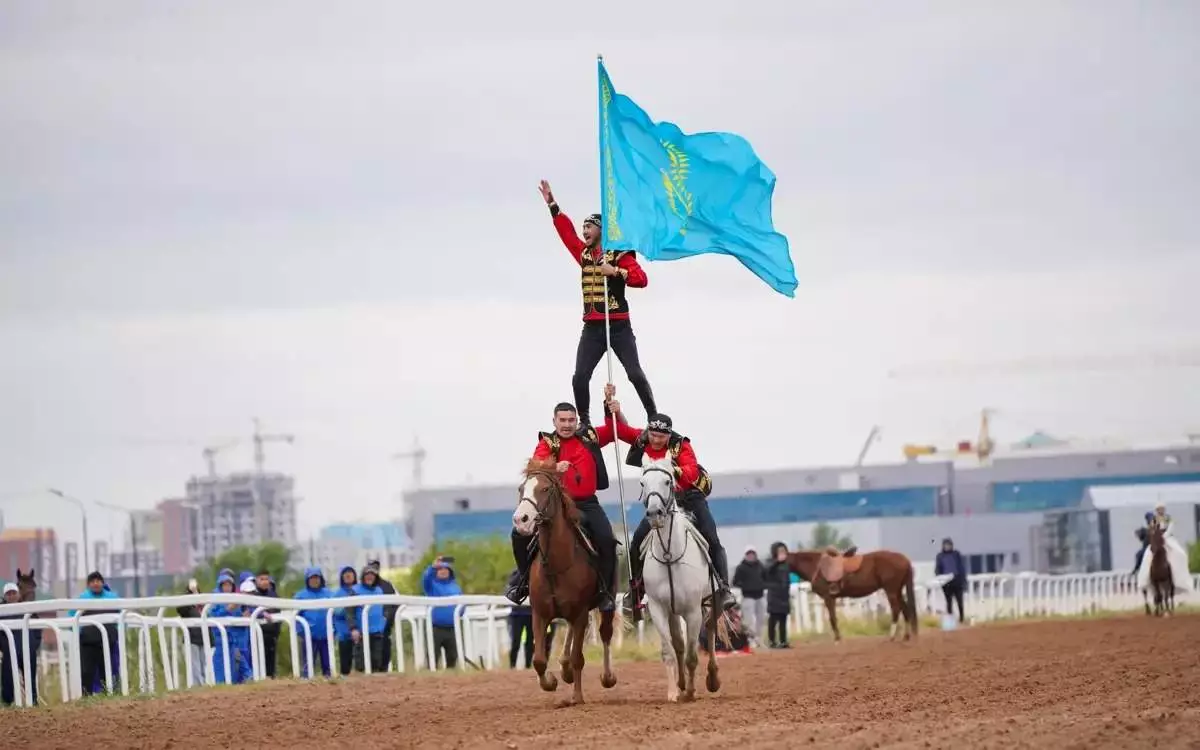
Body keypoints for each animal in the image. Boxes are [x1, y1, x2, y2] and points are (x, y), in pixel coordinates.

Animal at [513, 458, 614, 705]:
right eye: (521, 489)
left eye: (545, 489)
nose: (521, 520)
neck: (556, 565)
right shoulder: (539, 614)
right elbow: (539, 659)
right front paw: (550, 682)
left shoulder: (580, 613)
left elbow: (579, 657)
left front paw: (576, 696)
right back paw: (564, 667)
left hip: (605, 603)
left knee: (605, 633)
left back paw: (607, 676)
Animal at [638, 456, 720, 700]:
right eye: (642, 483)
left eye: (668, 481)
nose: (654, 514)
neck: (669, 555)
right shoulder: (658, 609)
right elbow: (670, 651)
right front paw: (674, 691)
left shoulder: (693, 611)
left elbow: (693, 655)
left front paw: (691, 692)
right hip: (674, 613)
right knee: (679, 644)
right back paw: (681, 684)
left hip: (710, 603)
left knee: (711, 632)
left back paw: (712, 679)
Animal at [787, 544, 916, 643]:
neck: (817, 566)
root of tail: (905, 560)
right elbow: (833, 617)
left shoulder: (828, 598)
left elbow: (832, 618)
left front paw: (838, 639)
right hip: (897, 591)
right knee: (905, 609)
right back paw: (906, 636)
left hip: (891, 591)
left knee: (896, 609)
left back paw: (891, 636)